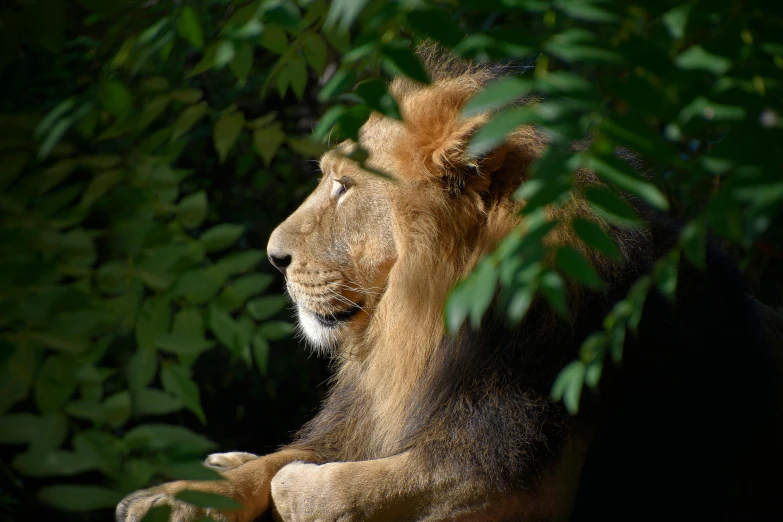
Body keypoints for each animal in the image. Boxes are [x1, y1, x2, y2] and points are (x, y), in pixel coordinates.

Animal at [118, 46, 783, 516]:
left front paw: (289, 484)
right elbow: (279, 460)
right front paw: (173, 496)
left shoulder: (509, 473)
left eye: (344, 187)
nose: (273, 256)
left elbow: (315, 487)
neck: (422, 324)